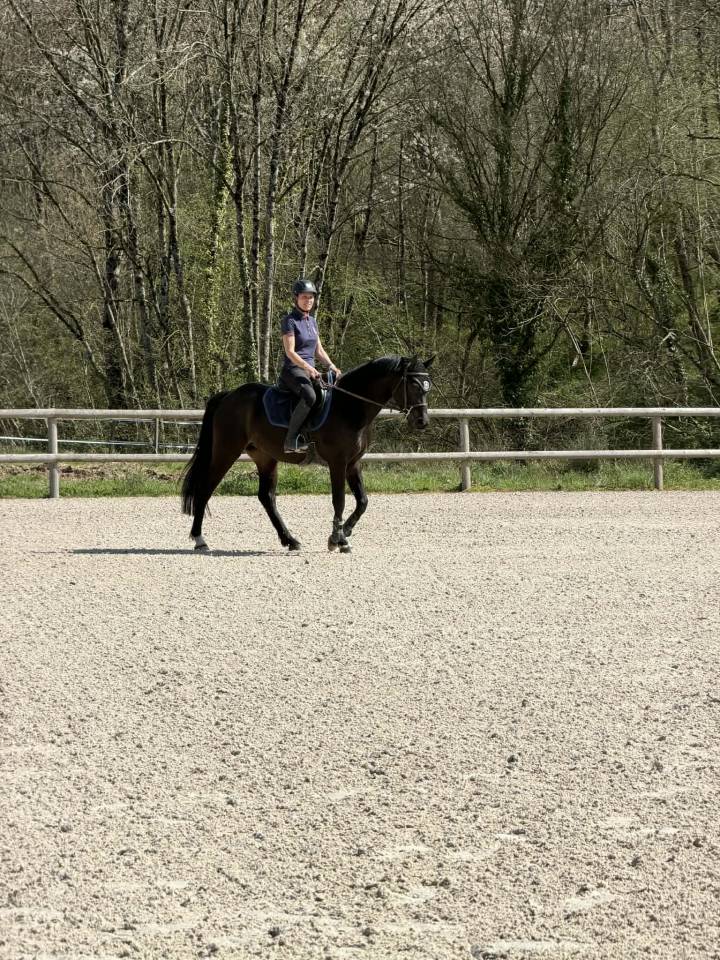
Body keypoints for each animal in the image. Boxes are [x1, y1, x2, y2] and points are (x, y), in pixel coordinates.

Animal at [180, 354, 434, 554]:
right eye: (413, 385)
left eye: (427, 385)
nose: (422, 421)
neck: (350, 407)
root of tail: (229, 395)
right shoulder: (338, 462)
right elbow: (339, 500)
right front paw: (338, 540)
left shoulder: (353, 463)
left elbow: (362, 501)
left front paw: (346, 532)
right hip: (226, 451)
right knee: (205, 489)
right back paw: (200, 540)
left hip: (265, 457)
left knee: (266, 497)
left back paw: (290, 540)